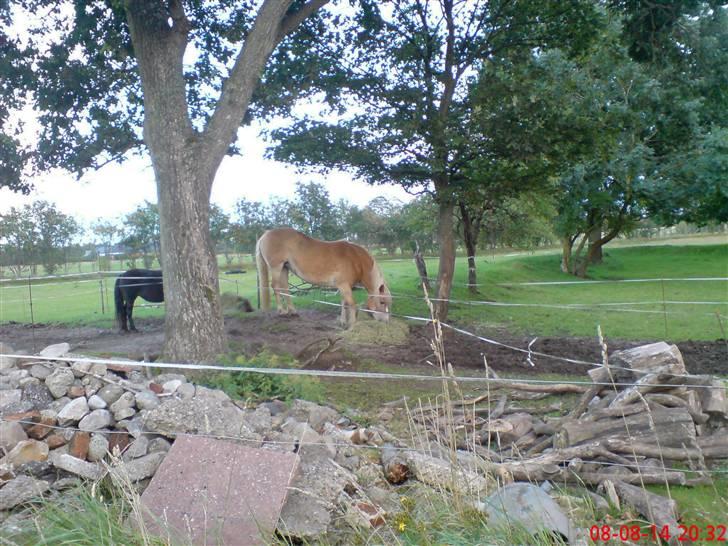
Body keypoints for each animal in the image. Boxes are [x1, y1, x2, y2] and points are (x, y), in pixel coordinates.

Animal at [256, 226, 392, 328]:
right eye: (382, 302)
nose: (386, 321)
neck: (355, 259)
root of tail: (266, 234)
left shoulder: (343, 287)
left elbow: (344, 303)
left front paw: (343, 322)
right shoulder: (344, 286)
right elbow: (352, 304)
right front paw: (352, 324)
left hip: (285, 268)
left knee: (285, 289)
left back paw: (293, 312)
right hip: (276, 267)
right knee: (275, 287)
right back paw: (281, 311)